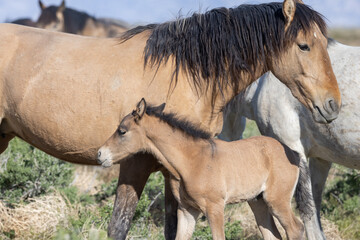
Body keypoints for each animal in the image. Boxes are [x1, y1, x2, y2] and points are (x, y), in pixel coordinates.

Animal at [97, 98, 310, 239]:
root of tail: (292, 153)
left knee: (296, 229)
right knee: (272, 234)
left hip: (277, 201)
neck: (192, 161)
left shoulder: (215, 208)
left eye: (122, 131)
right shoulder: (187, 210)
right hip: (258, 202)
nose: (100, 154)